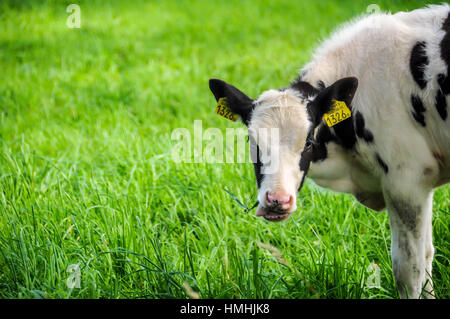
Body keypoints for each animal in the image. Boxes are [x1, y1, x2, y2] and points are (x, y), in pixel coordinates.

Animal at [210, 5, 450, 300]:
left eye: (308, 143)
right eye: (251, 141)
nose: (277, 200)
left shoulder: (406, 180)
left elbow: (409, 270)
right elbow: (426, 257)